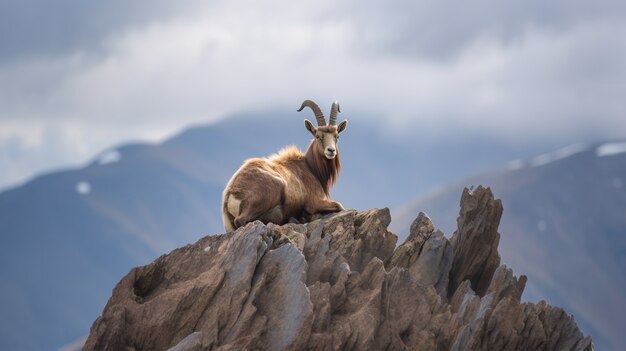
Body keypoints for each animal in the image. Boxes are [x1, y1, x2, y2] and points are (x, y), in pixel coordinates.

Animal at [219, 100, 346, 232]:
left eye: (337, 136)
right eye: (318, 136)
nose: (331, 151)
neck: (310, 168)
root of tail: (230, 195)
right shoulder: (314, 202)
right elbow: (339, 205)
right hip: (272, 189)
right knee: (242, 220)